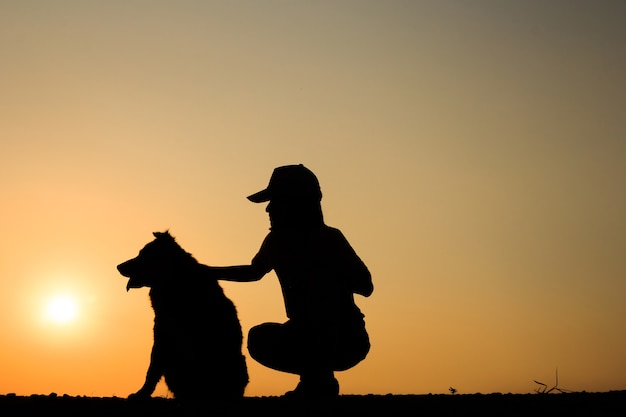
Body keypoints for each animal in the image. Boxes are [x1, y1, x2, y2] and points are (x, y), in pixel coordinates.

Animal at [116, 231, 247, 400]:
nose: (118, 266)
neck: (176, 284)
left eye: (143, 254)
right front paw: (142, 393)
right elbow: (152, 370)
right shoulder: (162, 334)